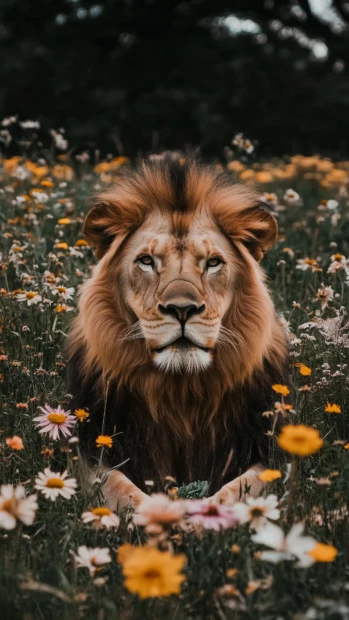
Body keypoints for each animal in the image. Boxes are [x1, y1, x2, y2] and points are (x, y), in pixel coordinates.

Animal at [66, 153, 286, 512]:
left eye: (213, 263)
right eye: (146, 261)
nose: (182, 310)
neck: (181, 392)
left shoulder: (272, 452)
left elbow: (240, 489)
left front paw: (199, 516)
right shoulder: (88, 451)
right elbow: (118, 489)